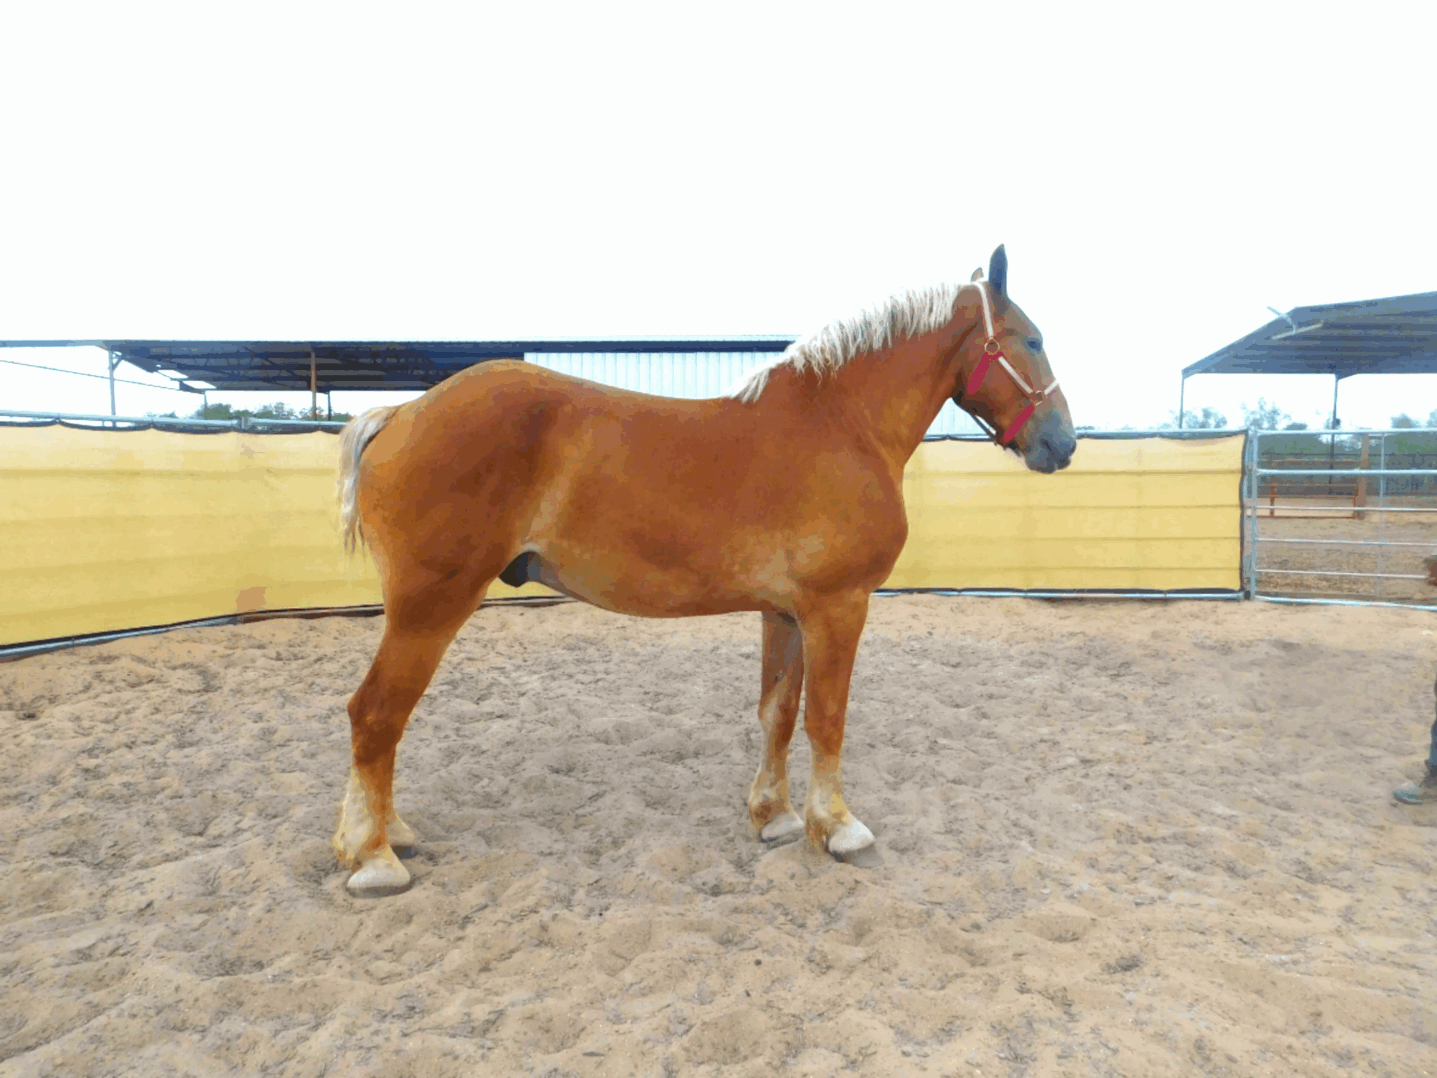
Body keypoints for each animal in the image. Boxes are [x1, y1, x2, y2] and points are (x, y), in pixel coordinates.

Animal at [331, 245, 1076, 896]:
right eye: (1032, 340)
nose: (1063, 444)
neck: (840, 422)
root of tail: (400, 412)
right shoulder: (838, 606)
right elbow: (827, 717)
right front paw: (838, 828)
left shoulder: (786, 612)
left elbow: (778, 713)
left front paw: (775, 818)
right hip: (431, 605)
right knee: (376, 713)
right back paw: (374, 858)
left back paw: (386, 835)